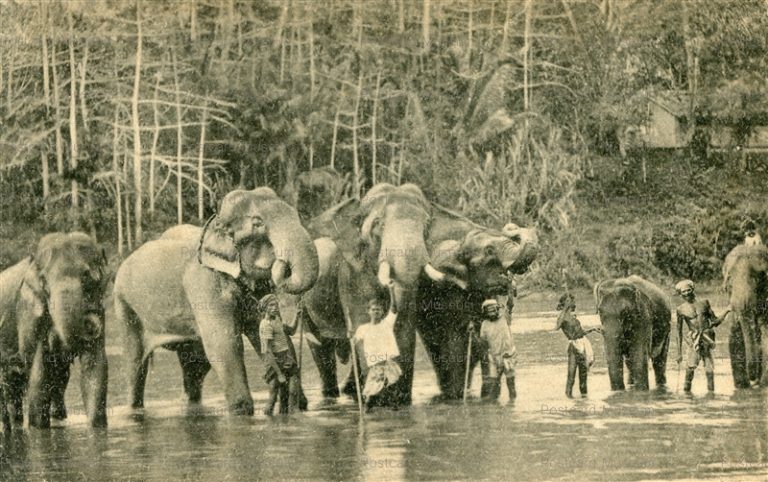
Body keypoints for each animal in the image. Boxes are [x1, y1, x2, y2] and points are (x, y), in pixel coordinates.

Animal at [0, 233, 109, 430]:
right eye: (43, 280)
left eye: (86, 276)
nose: (91, 325)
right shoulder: (29, 311)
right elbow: (39, 375)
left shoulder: (100, 307)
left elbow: (95, 368)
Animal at [112, 187, 320, 414]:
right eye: (258, 224)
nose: (282, 265)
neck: (216, 224)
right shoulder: (203, 284)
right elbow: (224, 344)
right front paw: (242, 411)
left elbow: (263, 334)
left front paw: (300, 405)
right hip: (125, 306)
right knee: (134, 364)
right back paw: (134, 408)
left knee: (196, 367)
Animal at [300, 185, 540, 406]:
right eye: (378, 225)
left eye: (425, 228)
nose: (512, 228)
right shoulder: (352, 272)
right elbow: (364, 322)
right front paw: (385, 401)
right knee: (320, 348)